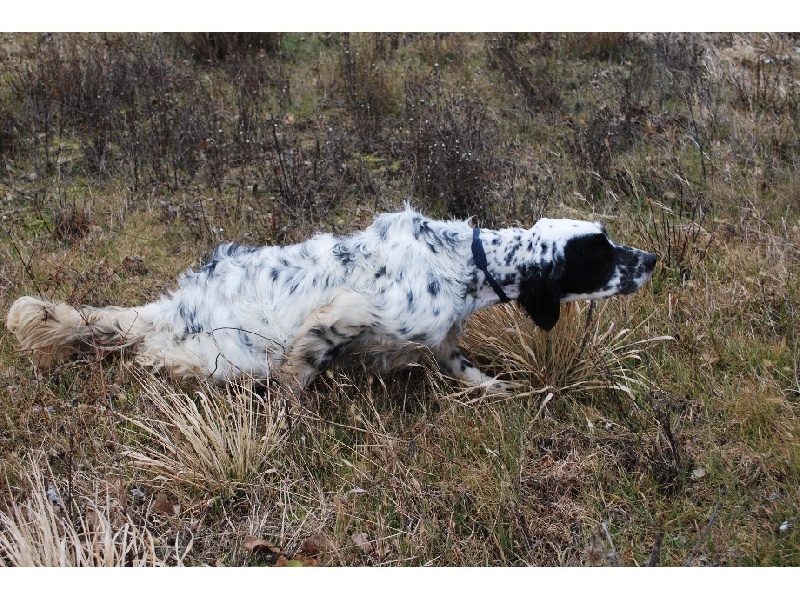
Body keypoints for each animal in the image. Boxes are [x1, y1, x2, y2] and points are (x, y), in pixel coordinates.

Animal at [5, 207, 657, 393]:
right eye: (602, 252)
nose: (651, 259)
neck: (466, 263)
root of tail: (178, 303)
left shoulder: (445, 340)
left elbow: (466, 369)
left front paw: (500, 392)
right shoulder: (354, 312)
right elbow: (310, 355)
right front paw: (295, 399)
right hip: (228, 354)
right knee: (160, 353)